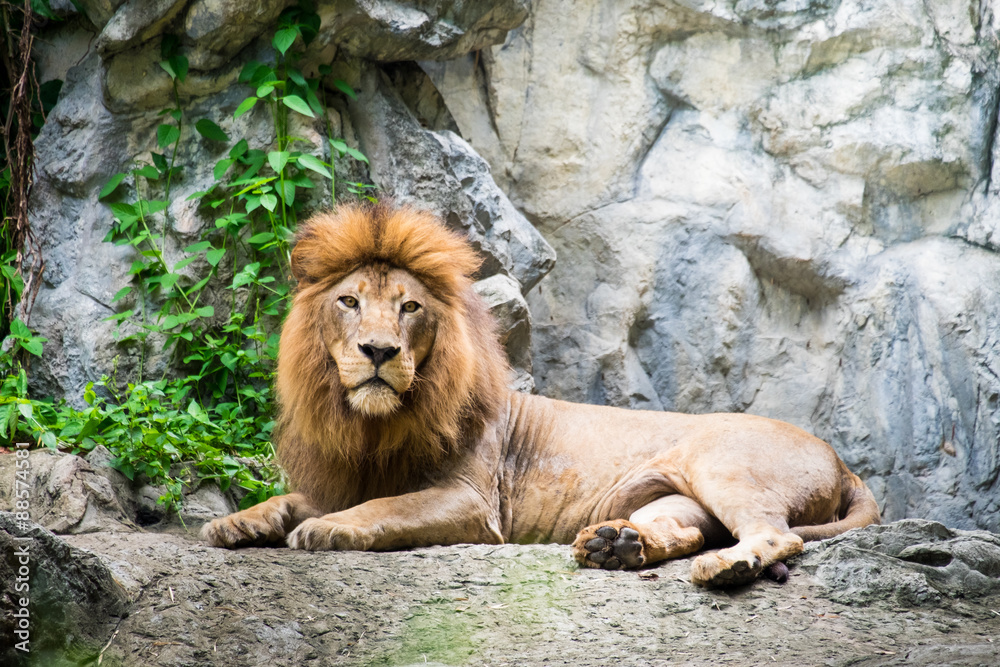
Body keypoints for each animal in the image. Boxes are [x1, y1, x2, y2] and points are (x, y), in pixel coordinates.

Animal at [202, 203, 880, 586]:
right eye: (348, 301)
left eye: (409, 307)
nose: (378, 352)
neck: (373, 425)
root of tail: (843, 462)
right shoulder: (341, 475)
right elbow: (292, 498)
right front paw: (236, 522)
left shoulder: (474, 503)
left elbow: (382, 508)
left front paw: (328, 529)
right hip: (670, 499)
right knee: (684, 532)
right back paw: (616, 547)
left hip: (725, 466)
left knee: (775, 535)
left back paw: (725, 568)